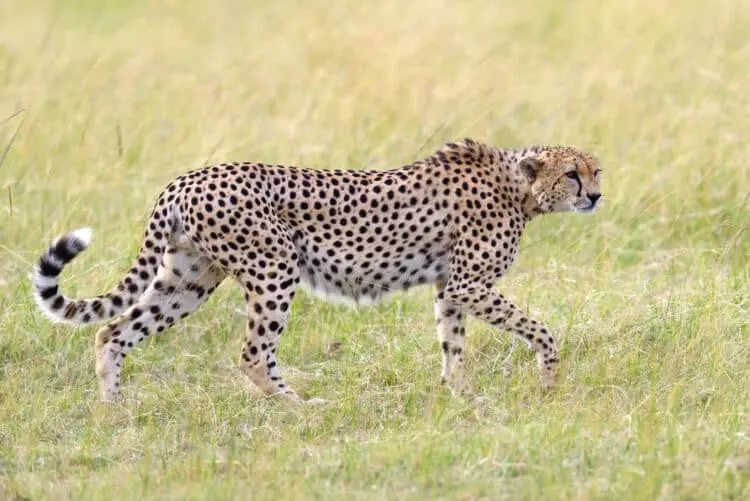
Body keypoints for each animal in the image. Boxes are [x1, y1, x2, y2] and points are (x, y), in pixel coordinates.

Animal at [32, 138, 602, 403]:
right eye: (572, 175)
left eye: (596, 171)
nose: (596, 196)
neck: (520, 187)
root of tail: (186, 178)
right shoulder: (469, 283)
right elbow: (541, 329)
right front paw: (548, 381)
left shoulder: (450, 288)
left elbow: (453, 342)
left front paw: (458, 394)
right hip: (274, 266)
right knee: (253, 354)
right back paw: (301, 406)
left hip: (189, 279)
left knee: (112, 331)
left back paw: (114, 409)